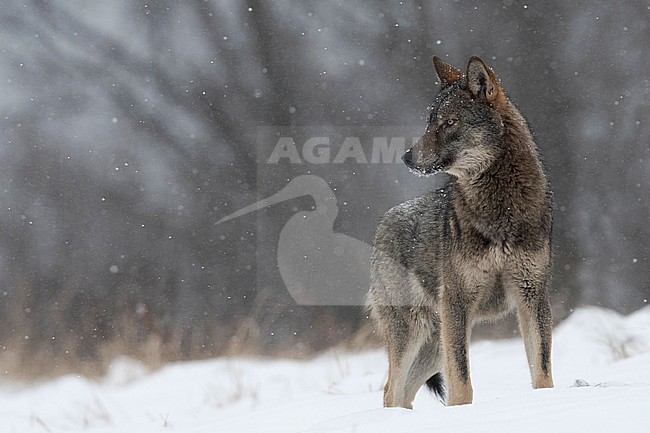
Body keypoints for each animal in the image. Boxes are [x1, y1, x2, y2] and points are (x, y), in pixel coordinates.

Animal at [367, 56, 554, 408]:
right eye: (429, 123)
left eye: (449, 122)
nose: (407, 157)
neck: (500, 209)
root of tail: (383, 223)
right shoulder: (458, 303)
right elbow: (462, 384)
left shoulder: (532, 297)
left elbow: (543, 373)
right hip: (416, 333)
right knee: (390, 390)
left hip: (434, 342)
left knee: (403, 391)